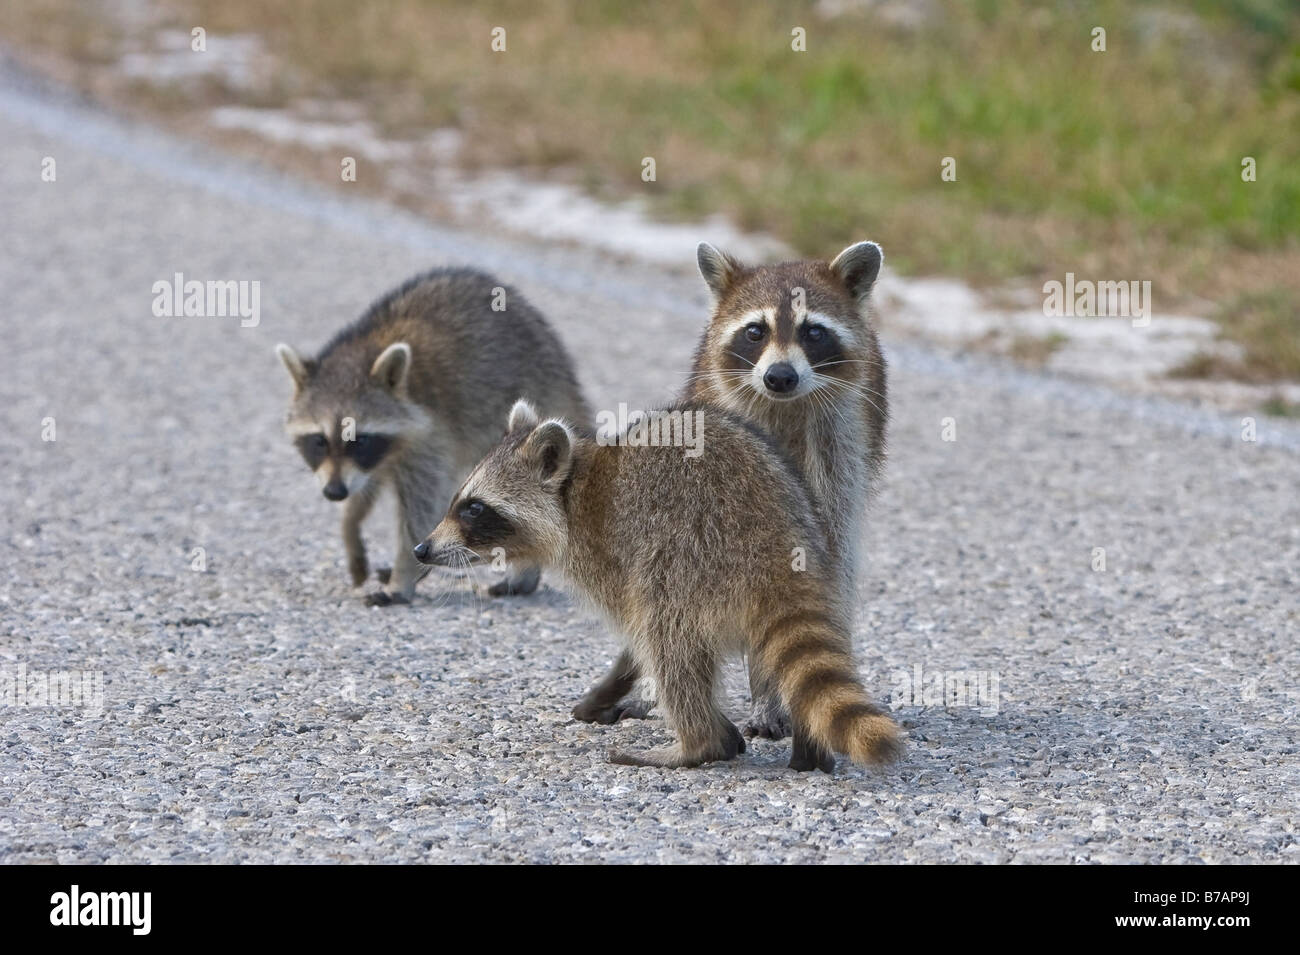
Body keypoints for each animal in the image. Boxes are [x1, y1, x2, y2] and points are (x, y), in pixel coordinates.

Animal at [279, 265, 595, 605]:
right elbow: (364, 488)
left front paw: (402, 576)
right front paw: (351, 532)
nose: (334, 492)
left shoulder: (430, 434)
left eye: (359, 440)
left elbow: (422, 506)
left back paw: (522, 573)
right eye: (319, 440)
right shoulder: (374, 460)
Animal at [416, 400, 904, 774]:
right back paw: (807, 747)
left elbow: (636, 632)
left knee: (666, 633)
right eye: (458, 500)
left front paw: (617, 684)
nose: (422, 549)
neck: (571, 490)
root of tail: (776, 543)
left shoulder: (607, 548)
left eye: (474, 508)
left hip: (691, 553)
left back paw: (696, 742)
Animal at [574, 239, 889, 738]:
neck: (783, 407)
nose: (780, 376)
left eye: (814, 332)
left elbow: (818, 567)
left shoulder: (841, 446)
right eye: (755, 331)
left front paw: (771, 693)